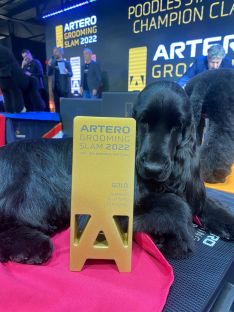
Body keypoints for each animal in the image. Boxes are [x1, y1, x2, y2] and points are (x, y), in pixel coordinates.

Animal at [0, 81, 233, 264]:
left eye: (177, 126)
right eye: (143, 121)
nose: (153, 168)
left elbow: (200, 200)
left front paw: (226, 219)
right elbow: (175, 204)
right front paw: (176, 239)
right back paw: (33, 246)